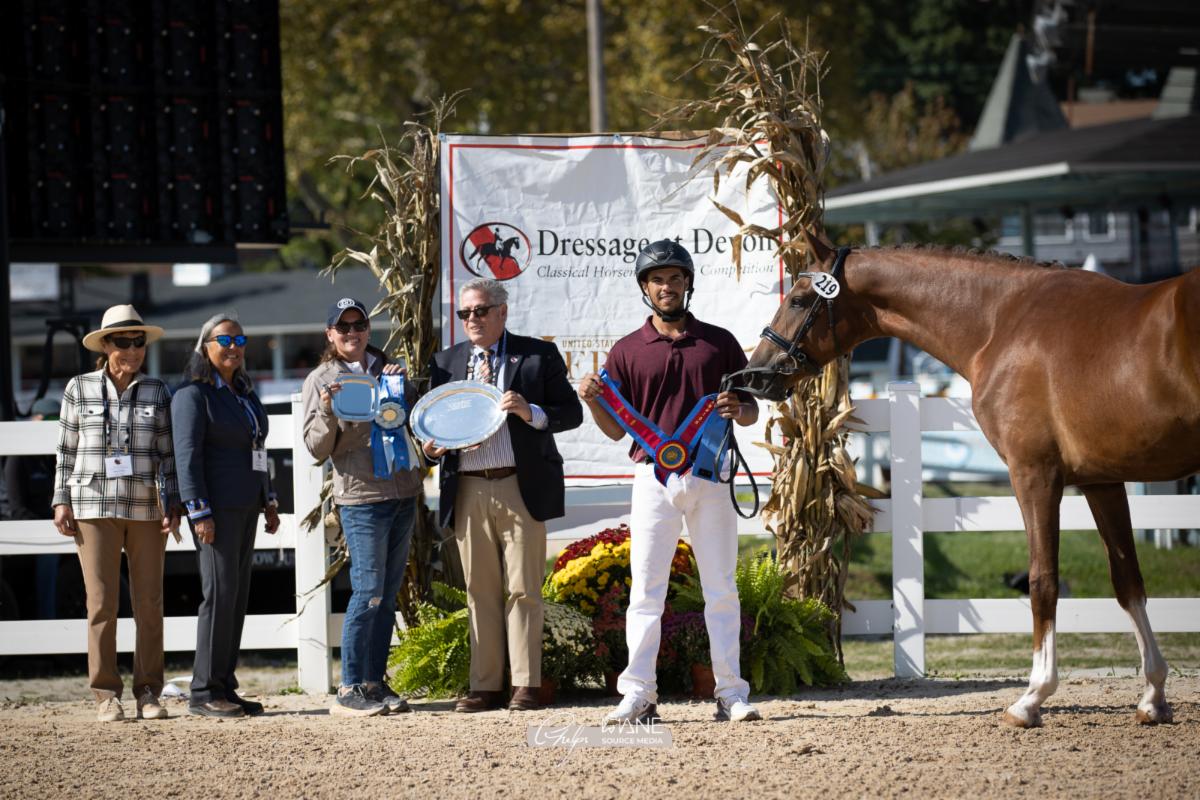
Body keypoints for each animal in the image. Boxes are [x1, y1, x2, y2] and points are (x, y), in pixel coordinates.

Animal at [741, 228, 1200, 728]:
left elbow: (1042, 580)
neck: (1003, 323)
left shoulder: (1033, 473)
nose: (757, 373)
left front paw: (1031, 698)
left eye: (800, 299)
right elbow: (1127, 581)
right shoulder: (1103, 481)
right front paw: (1153, 696)